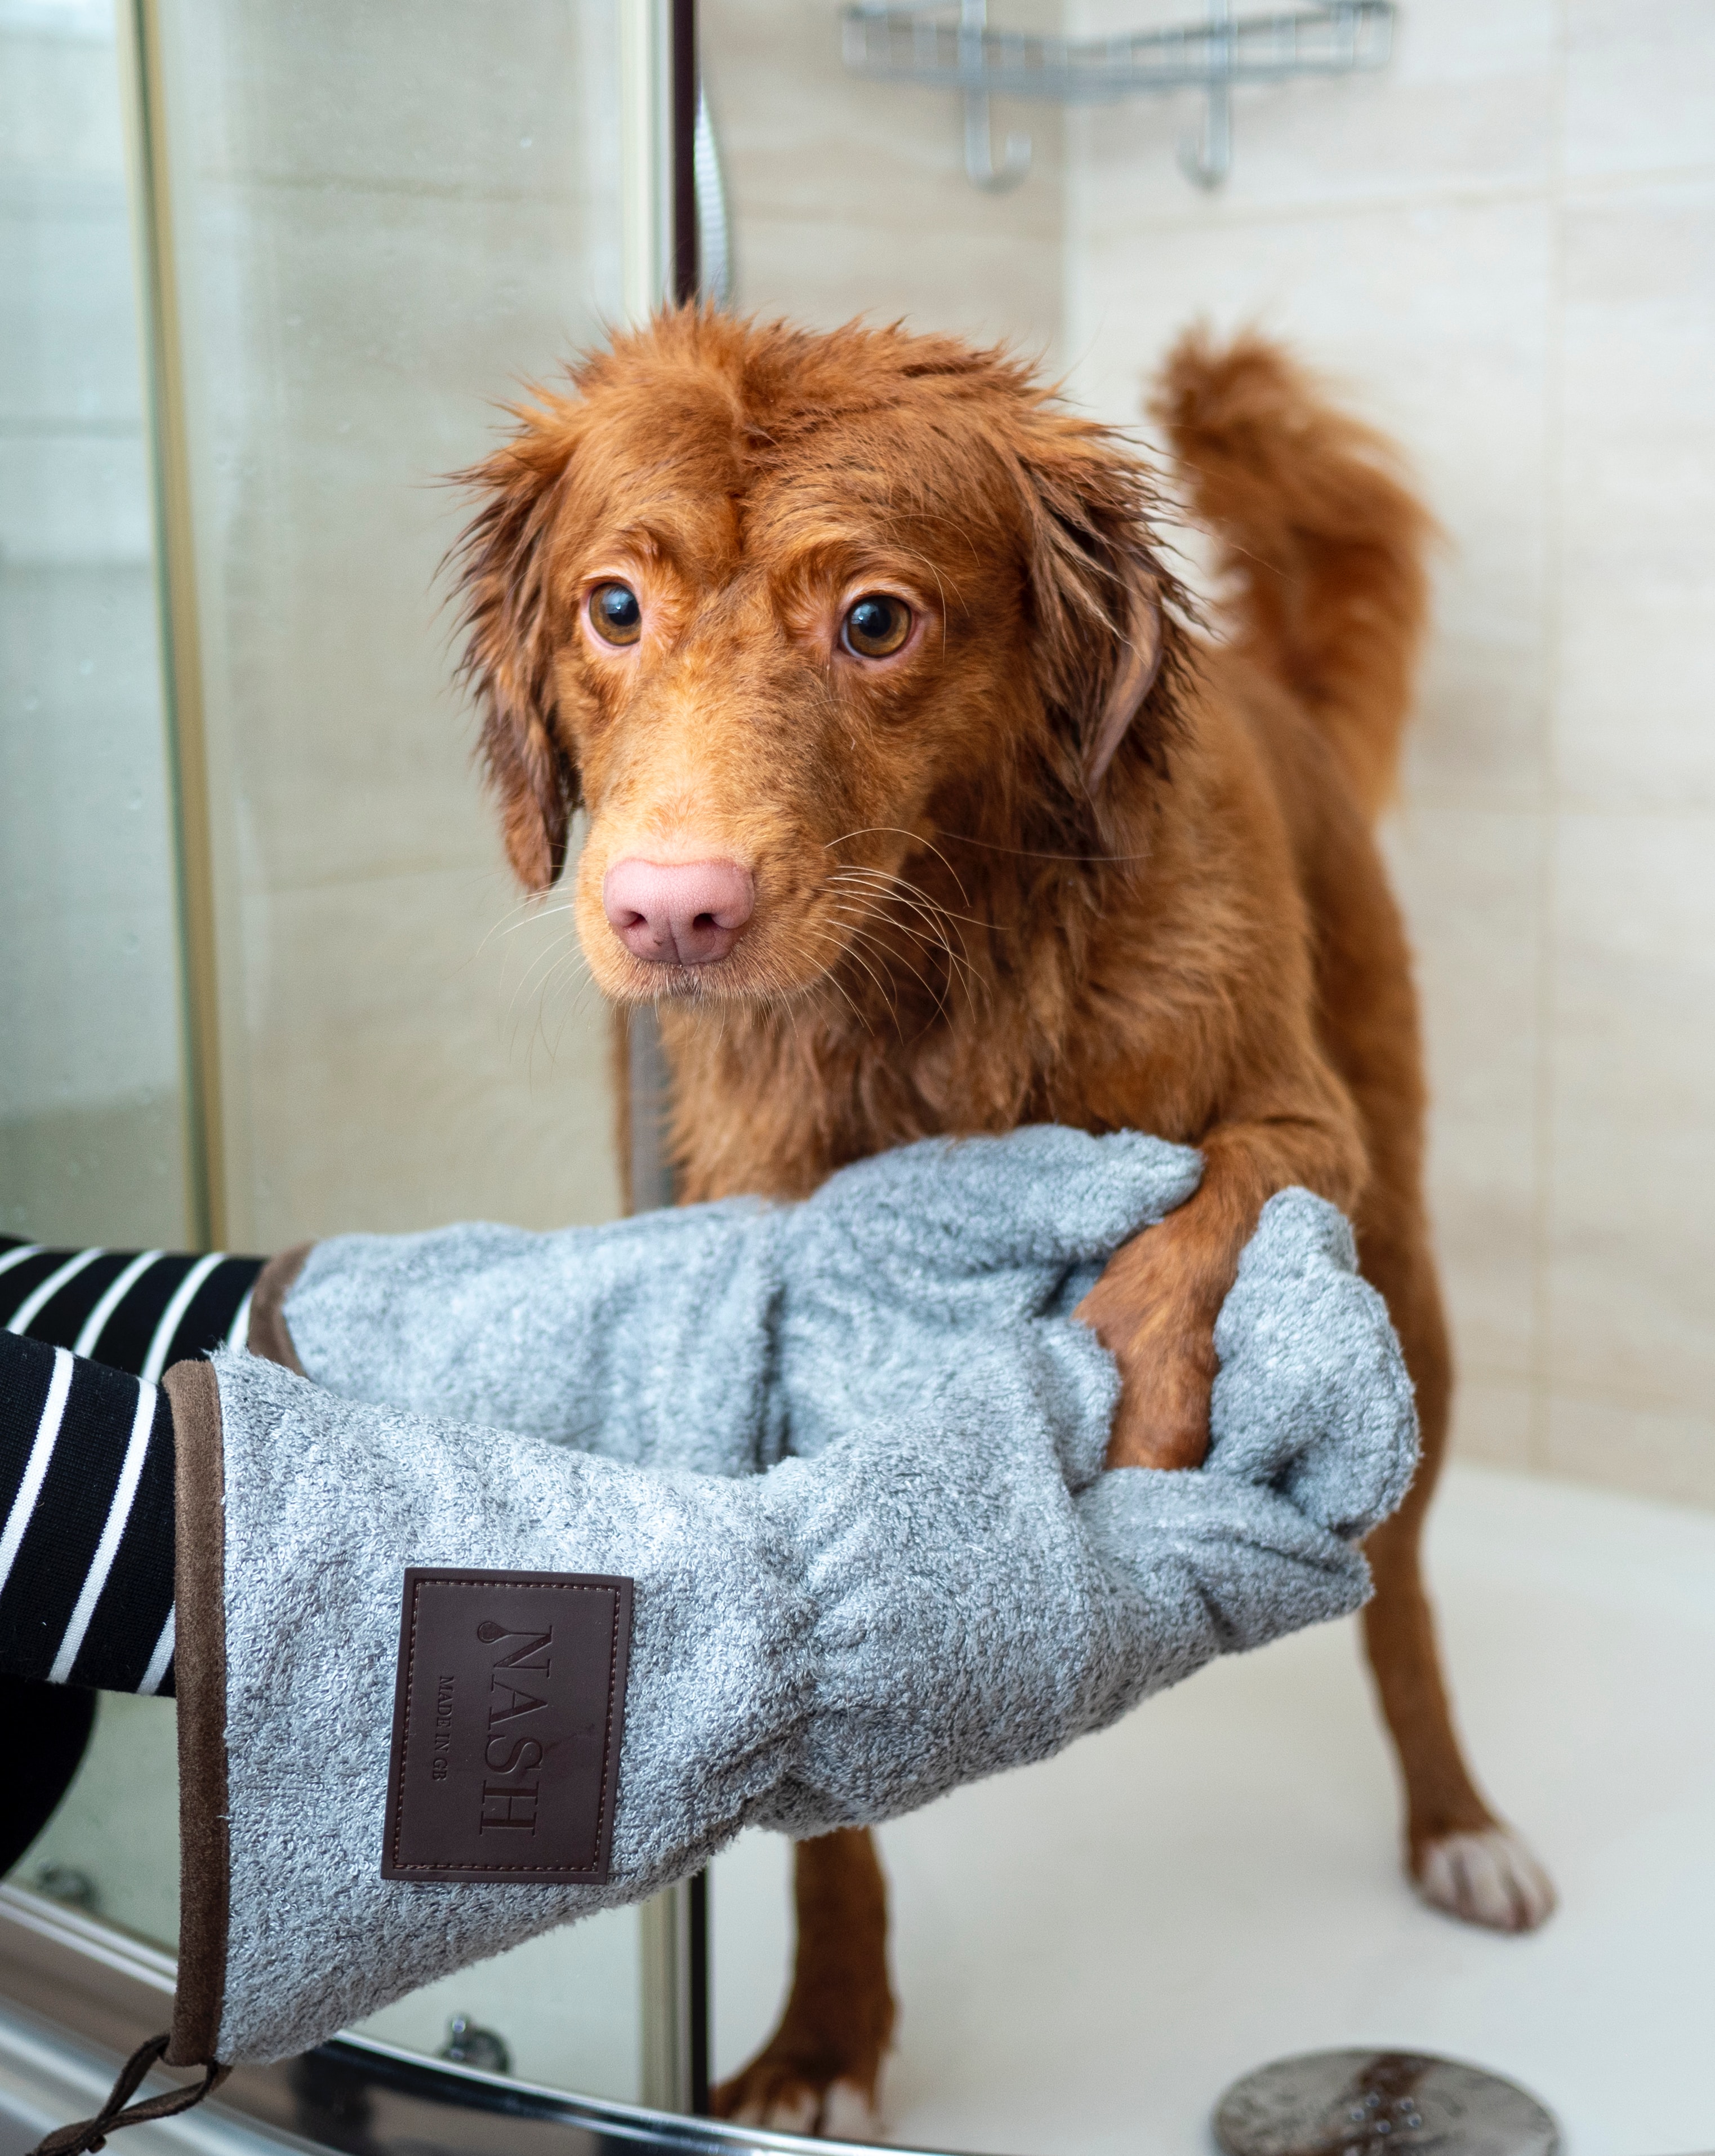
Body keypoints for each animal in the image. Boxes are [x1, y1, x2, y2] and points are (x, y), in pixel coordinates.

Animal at [452, 312, 1551, 2130]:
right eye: (614, 607)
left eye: (874, 620)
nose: (672, 911)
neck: (927, 988)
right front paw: (823, 2035)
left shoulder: (1295, 1122)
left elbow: (1197, 1216)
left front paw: (1141, 1397)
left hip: (1409, 1259)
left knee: (1404, 1598)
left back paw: (1460, 1824)